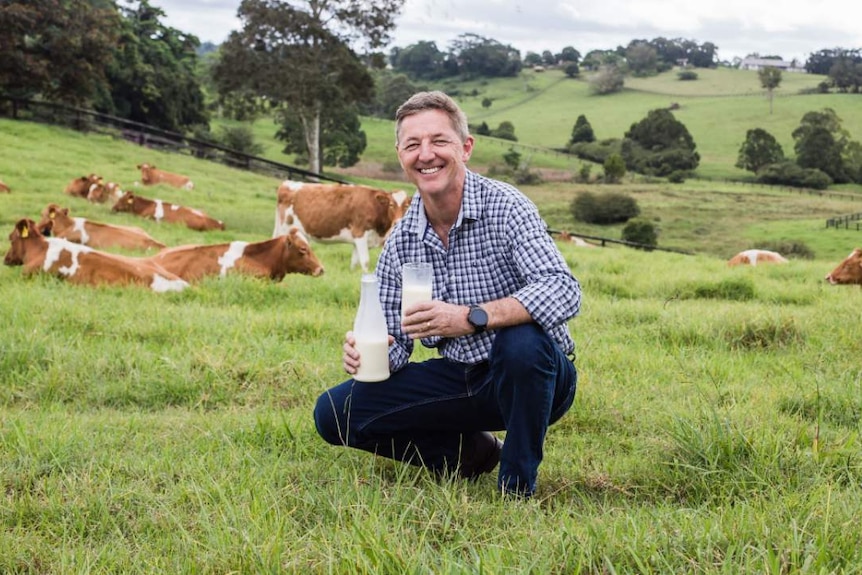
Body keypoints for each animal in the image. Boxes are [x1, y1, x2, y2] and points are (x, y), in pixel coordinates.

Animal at [276, 180, 414, 272]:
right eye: (391, 204)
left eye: (407, 205)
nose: (397, 221)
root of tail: (288, 183)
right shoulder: (359, 234)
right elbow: (365, 262)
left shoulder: (359, 242)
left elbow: (354, 263)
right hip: (284, 229)